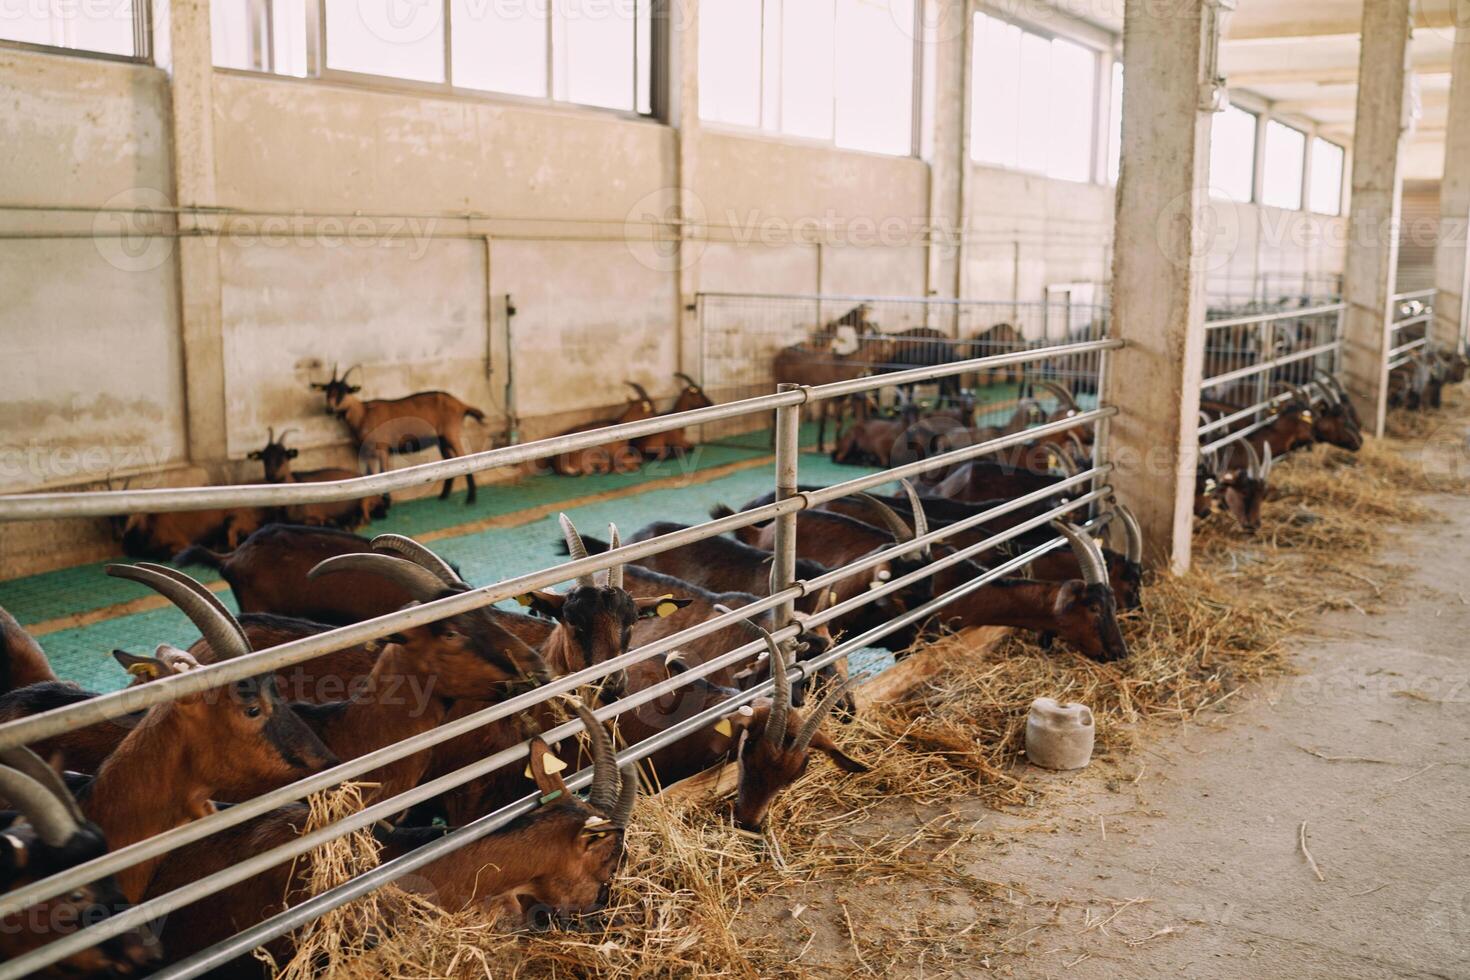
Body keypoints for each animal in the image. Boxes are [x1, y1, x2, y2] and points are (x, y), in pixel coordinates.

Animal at [311, 365, 488, 505]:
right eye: (327, 391)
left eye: (343, 392)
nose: (329, 409)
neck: (363, 414)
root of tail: (461, 405)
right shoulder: (366, 451)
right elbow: (370, 475)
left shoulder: (382, 447)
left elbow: (383, 473)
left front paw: (386, 504)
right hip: (441, 439)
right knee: (450, 461)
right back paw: (444, 495)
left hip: (451, 432)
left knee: (464, 458)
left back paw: (471, 499)